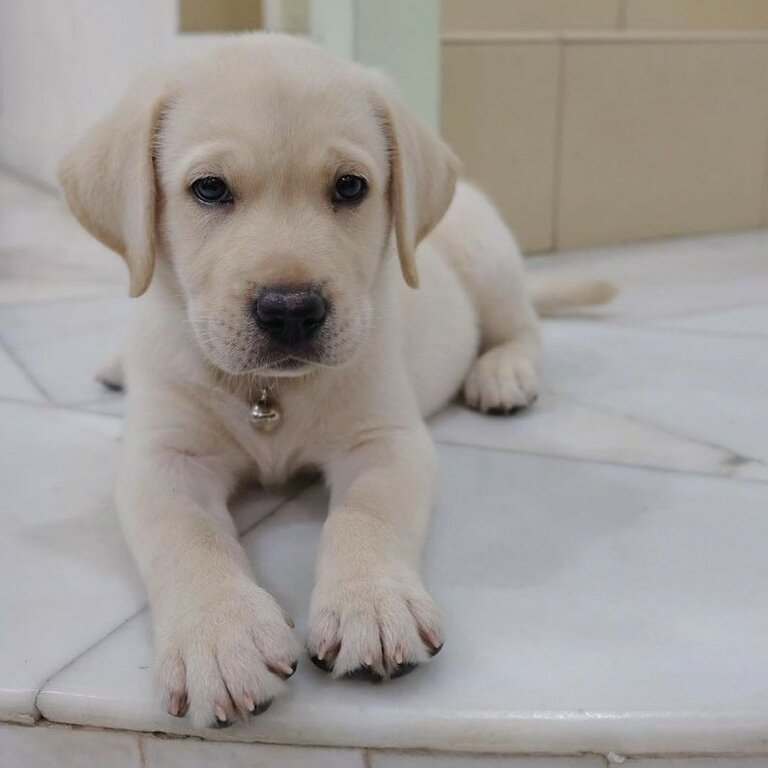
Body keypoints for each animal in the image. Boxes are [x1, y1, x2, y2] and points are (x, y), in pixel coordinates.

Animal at [60, 34, 612, 728]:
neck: (268, 392)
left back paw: (503, 372)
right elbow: (187, 537)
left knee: (524, 326)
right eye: (208, 189)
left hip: (489, 259)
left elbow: (364, 514)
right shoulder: (163, 459)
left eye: (350, 186)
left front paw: (370, 603)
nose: (291, 310)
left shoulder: (386, 440)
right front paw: (220, 635)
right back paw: (115, 366)